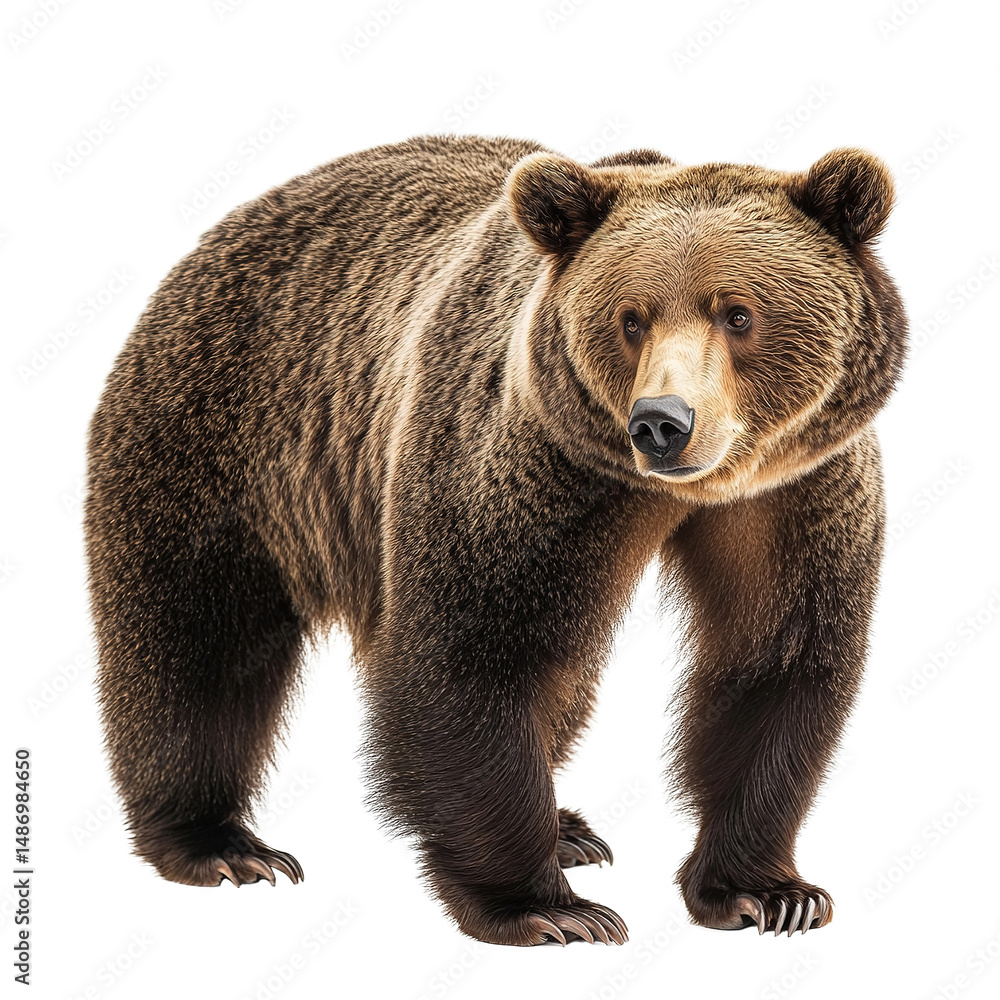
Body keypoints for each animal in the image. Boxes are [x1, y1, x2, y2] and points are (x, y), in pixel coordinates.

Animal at [84, 134, 906, 946]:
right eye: (631, 318)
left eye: (737, 313)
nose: (661, 423)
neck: (679, 492)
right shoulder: (521, 459)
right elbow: (472, 655)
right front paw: (547, 907)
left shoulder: (797, 491)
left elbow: (773, 658)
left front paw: (766, 893)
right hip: (221, 443)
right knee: (197, 643)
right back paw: (219, 844)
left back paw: (570, 827)